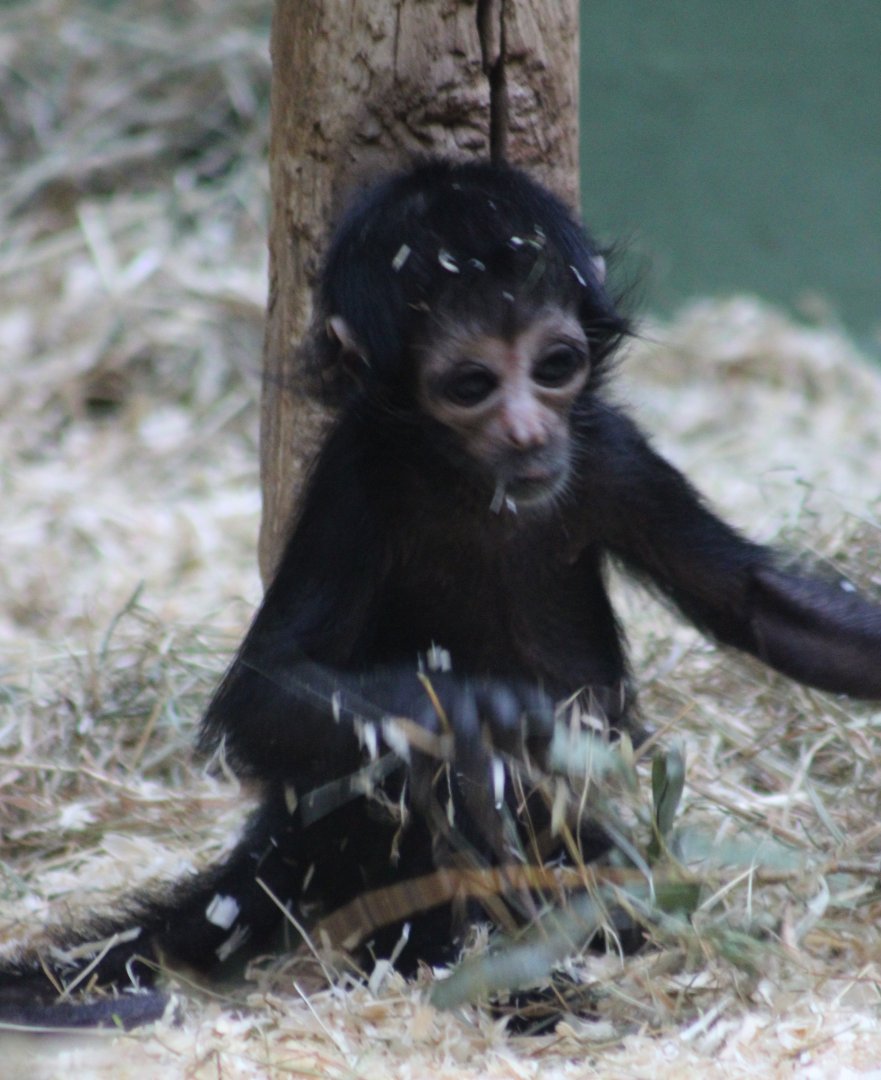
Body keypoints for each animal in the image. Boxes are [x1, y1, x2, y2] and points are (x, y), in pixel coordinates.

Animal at [2, 158, 881, 1030]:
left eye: (554, 366)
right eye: (470, 384)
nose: (527, 432)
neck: (476, 491)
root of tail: (281, 846)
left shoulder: (606, 450)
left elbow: (755, 602)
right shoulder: (356, 477)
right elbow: (259, 695)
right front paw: (464, 710)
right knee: (393, 781)